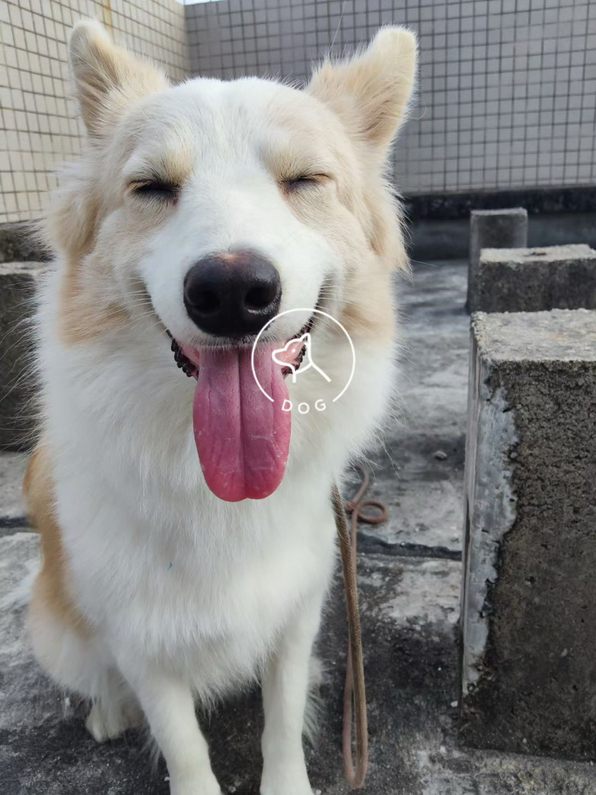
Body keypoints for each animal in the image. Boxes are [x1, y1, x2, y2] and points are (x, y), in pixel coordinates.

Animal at [24, 20, 416, 795]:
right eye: (151, 187)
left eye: (305, 181)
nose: (232, 293)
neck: (212, 480)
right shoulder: (138, 637)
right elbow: (183, 745)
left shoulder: (297, 607)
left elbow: (282, 718)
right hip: (56, 622)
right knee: (94, 675)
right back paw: (107, 710)